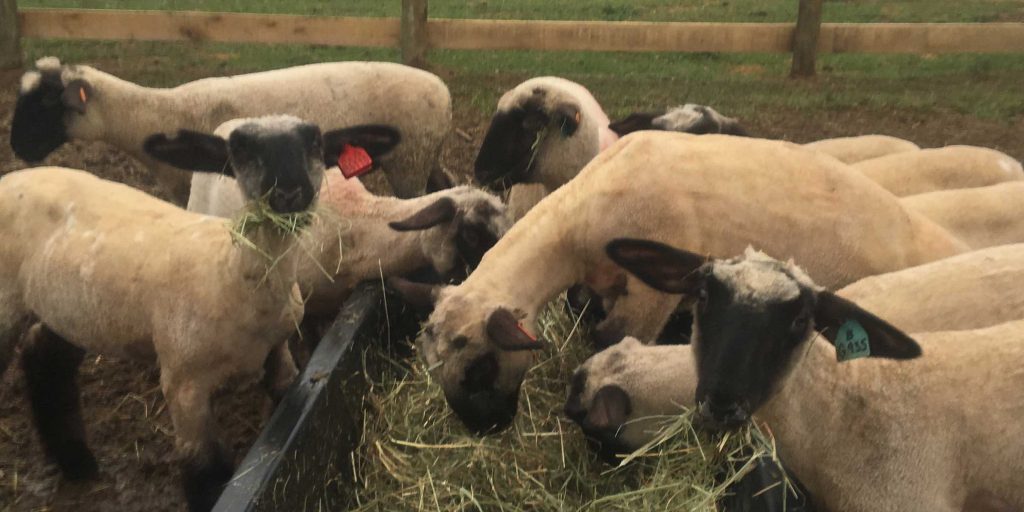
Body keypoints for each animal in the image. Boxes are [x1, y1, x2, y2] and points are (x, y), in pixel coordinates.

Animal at [1, 116, 400, 512]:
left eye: (315, 142)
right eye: (240, 149)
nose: (289, 192)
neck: (230, 272)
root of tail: (12, 178)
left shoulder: (277, 351)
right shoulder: (183, 383)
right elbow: (205, 469)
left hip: (70, 308)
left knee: (45, 357)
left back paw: (77, 463)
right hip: (9, 308)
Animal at [10, 56, 451, 203]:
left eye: (46, 104)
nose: (16, 147)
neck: (152, 115)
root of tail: (443, 93)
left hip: (409, 160)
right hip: (422, 155)